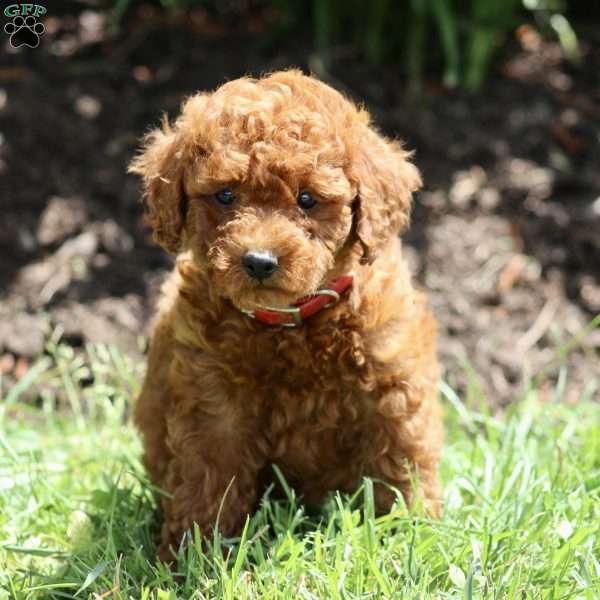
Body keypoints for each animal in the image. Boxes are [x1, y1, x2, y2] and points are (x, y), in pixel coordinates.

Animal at [130, 70, 440, 564]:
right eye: (225, 195)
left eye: (308, 199)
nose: (259, 261)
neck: (291, 322)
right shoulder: (212, 402)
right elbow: (208, 478)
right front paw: (192, 556)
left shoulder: (390, 382)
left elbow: (401, 462)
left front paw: (413, 538)